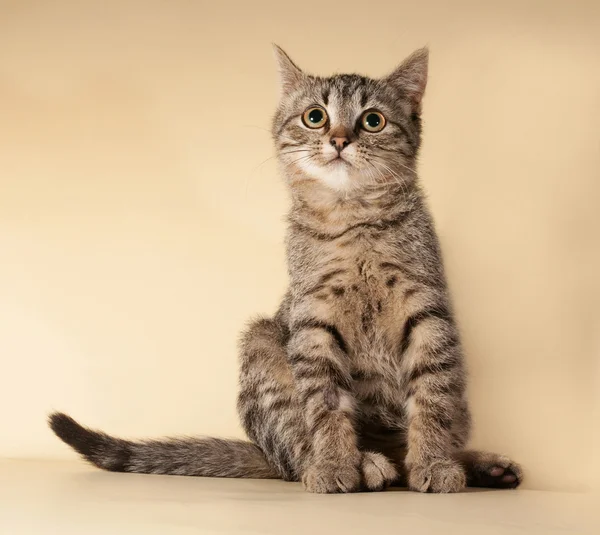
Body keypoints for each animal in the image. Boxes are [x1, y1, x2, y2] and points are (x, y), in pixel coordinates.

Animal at [50, 47, 520, 494]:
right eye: (315, 117)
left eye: (373, 120)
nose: (339, 139)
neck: (354, 219)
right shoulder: (313, 322)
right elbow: (325, 406)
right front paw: (334, 464)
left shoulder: (427, 314)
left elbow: (431, 399)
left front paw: (435, 463)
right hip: (262, 345)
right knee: (296, 454)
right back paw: (362, 464)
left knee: (411, 447)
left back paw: (477, 466)